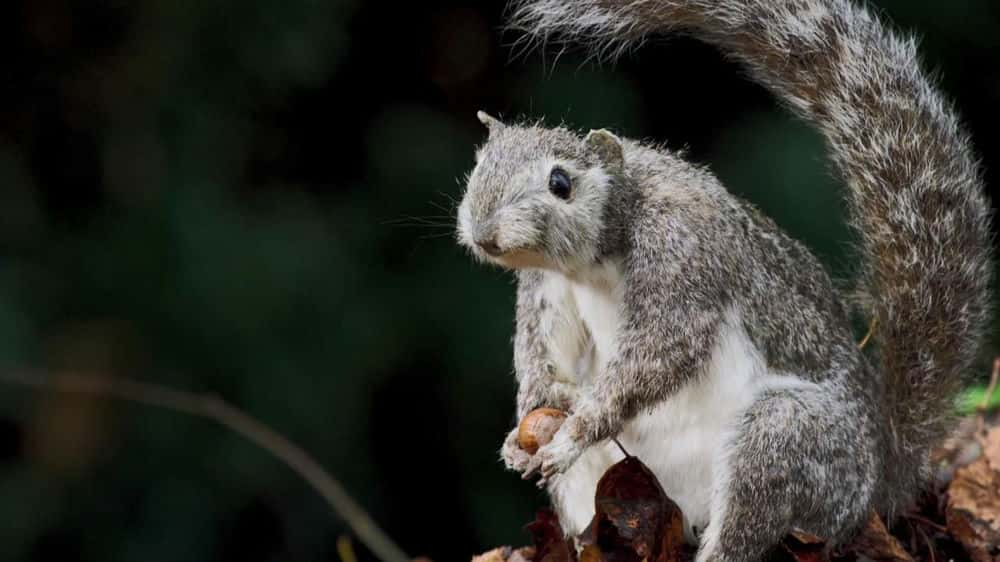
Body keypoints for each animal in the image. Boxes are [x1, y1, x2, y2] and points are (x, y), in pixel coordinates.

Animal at [454, 2, 992, 556]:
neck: (592, 261)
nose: (485, 234)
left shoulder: (683, 251)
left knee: (747, 521)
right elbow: (545, 353)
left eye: (560, 182)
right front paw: (527, 426)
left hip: (788, 443)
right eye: (479, 164)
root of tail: (877, 487)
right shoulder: (547, 287)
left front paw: (573, 434)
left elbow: (662, 350)